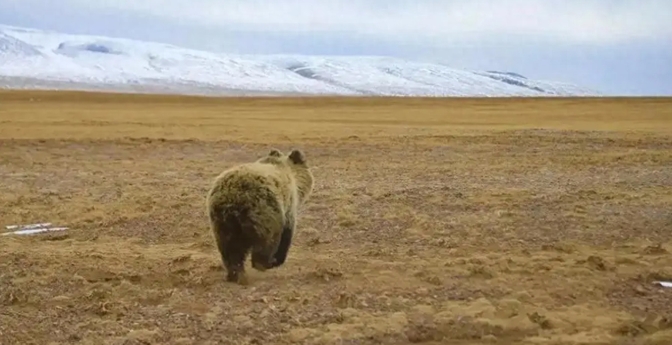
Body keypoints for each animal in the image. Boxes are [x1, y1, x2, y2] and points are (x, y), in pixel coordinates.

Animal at [205, 149, 316, 284]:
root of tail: (232, 197)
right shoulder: (288, 208)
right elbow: (286, 235)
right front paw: (279, 259)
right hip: (264, 211)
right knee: (266, 242)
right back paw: (265, 263)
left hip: (221, 220)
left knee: (229, 248)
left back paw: (235, 274)